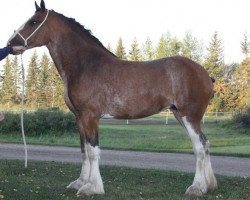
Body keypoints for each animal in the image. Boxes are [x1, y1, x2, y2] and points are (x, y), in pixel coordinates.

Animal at [7, 0, 217, 197]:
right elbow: (84, 151)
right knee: (205, 143)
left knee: (199, 147)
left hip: (189, 116)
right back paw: (209, 186)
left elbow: (93, 152)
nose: (10, 43)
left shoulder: (90, 116)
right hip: (179, 114)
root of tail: (206, 75)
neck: (85, 65)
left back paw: (196, 188)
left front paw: (92, 187)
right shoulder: (79, 117)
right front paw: (80, 182)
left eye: (33, 22)